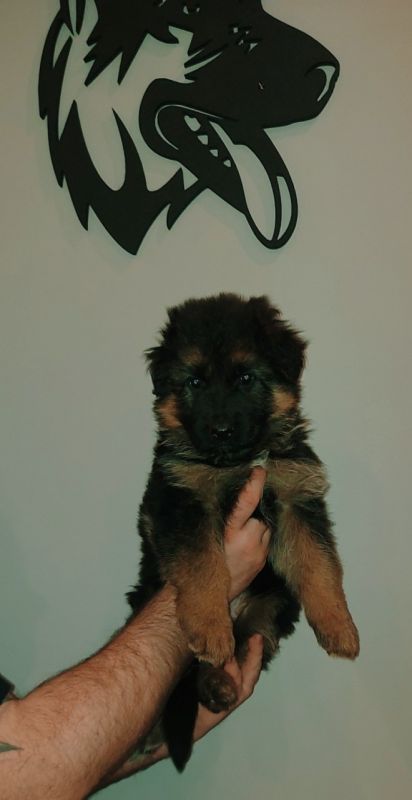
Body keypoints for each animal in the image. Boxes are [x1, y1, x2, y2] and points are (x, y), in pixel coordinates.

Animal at [128, 293, 359, 769]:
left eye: (246, 378)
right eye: (195, 381)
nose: (220, 430)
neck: (236, 461)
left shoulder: (296, 499)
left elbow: (321, 566)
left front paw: (339, 626)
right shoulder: (183, 503)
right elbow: (204, 570)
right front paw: (209, 627)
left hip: (267, 612)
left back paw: (217, 684)